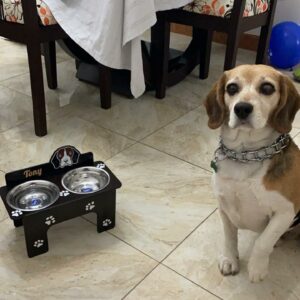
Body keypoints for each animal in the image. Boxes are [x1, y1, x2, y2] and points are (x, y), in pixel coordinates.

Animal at [204, 64, 300, 282]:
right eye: (231, 88)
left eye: (267, 88)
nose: (242, 108)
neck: (246, 154)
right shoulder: (224, 207)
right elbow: (229, 237)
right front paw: (230, 259)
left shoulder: (286, 211)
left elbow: (264, 241)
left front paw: (257, 267)